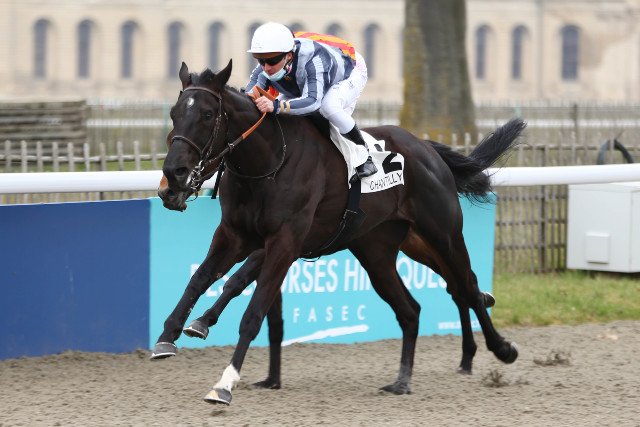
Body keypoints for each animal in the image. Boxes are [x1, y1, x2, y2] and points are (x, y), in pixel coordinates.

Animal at [154, 60, 524, 405]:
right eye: (173, 114)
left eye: (206, 114)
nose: (173, 175)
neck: (269, 163)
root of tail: (429, 149)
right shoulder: (234, 235)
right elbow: (200, 279)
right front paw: (169, 335)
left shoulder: (283, 243)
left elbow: (250, 307)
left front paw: (224, 383)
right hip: (381, 253)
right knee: (413, 309)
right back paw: (402, 381)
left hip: (443, 235)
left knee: (467, 286)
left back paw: (501, 349)